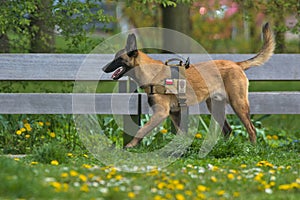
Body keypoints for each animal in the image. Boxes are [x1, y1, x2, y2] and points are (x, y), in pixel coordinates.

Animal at [102, 23, 274, 148]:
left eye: (117, 59)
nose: (103, 68)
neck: (152, 73)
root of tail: (237, 64)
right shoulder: (174, 113)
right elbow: (181, 135)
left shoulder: (161, 113)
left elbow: (141, 130)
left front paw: (128, 147)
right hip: (215, 107)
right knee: (228, 130)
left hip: (238, 104)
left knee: (251, 129)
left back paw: (252, 149)